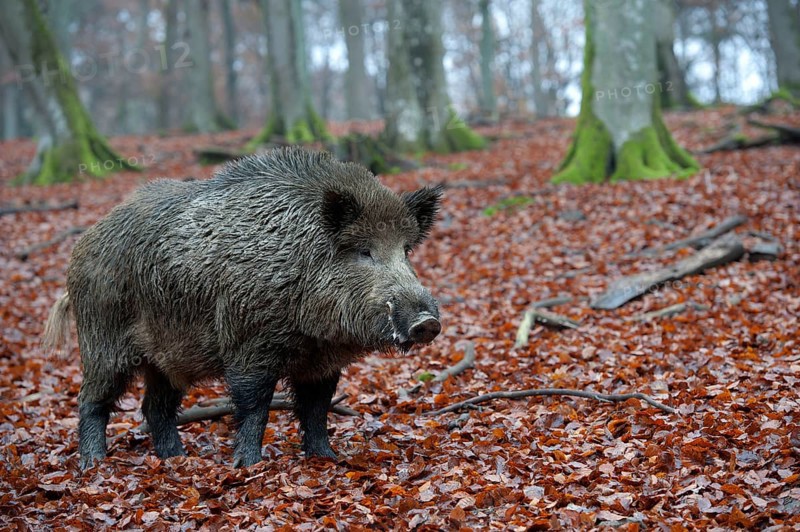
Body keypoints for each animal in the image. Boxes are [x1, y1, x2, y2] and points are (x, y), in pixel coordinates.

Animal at [42, 147, 442, 469]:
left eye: (406, 250)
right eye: (364, 251)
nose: (427, 322)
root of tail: (84, 243)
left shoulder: (321, 362)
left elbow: (316, 409)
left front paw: (328, 458)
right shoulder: (249, 343)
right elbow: (255, 406)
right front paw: (248, 465)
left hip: (166, 357)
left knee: (155, 406)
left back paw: (176, 458)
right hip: (102, 338)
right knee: (91, 400)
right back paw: (94, 463)